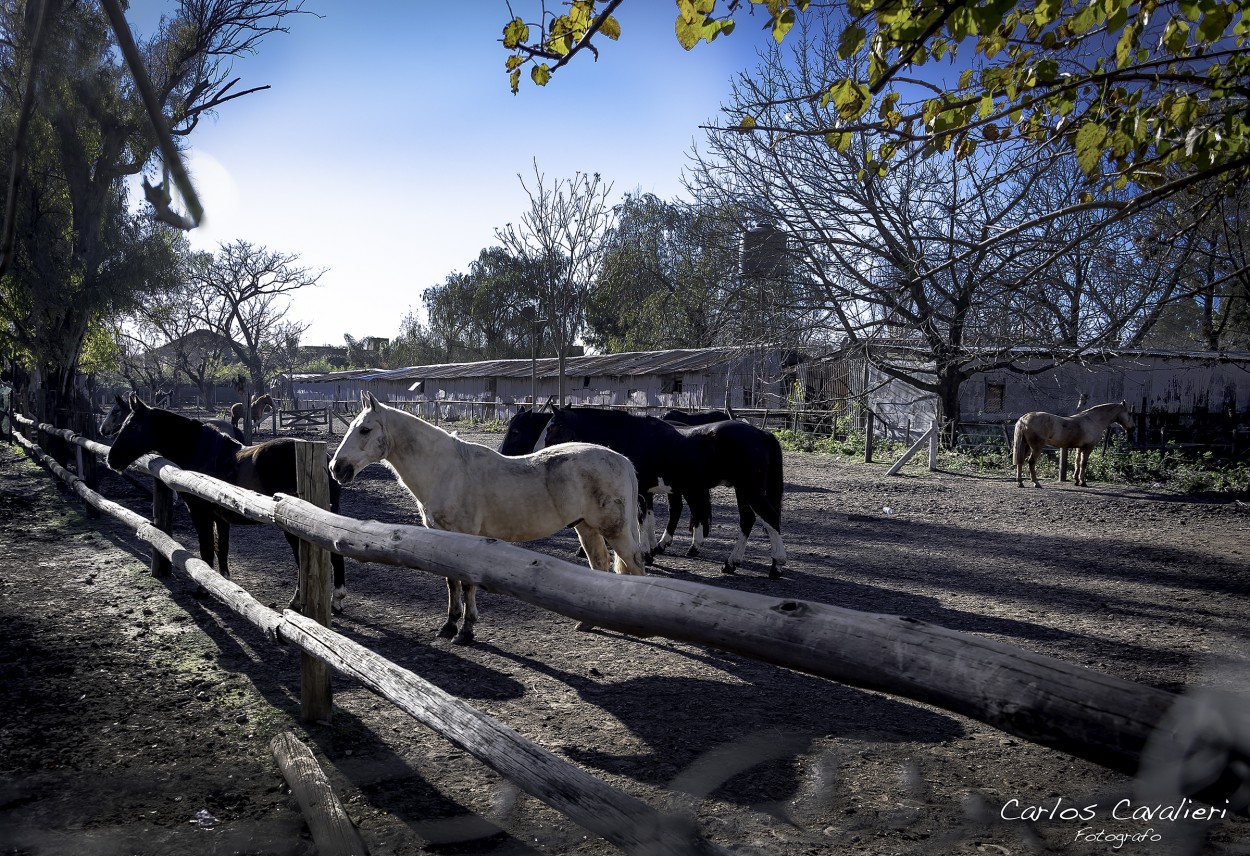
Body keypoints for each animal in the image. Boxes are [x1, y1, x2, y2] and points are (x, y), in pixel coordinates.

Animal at [327, 392, 650, 639]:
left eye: (365, 429)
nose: (336, 468)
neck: (446, 470)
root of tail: (622, 460)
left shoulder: (466, 537)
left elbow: (467, 583)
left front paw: (466, 630)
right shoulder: (441, 538)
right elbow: (451, 582)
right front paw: (449, 625)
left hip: (616, 530)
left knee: (635, 567)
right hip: (586, 527)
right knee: (600, 564)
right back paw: (586, 623)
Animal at [1010, 399, 1140, 487]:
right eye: (1129, 413)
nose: (1133, 428)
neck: (1093, 420)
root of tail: (1024, 418)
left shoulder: (1079, 448)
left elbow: (1077, 462)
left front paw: (1076, 480)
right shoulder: (1088, 447)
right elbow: (1083, 463)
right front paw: (1083, 482)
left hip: (1026, 446)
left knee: (1020, 462)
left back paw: (1020, 483)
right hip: (1036, 447)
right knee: (1031, 462)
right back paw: (1036, 483)